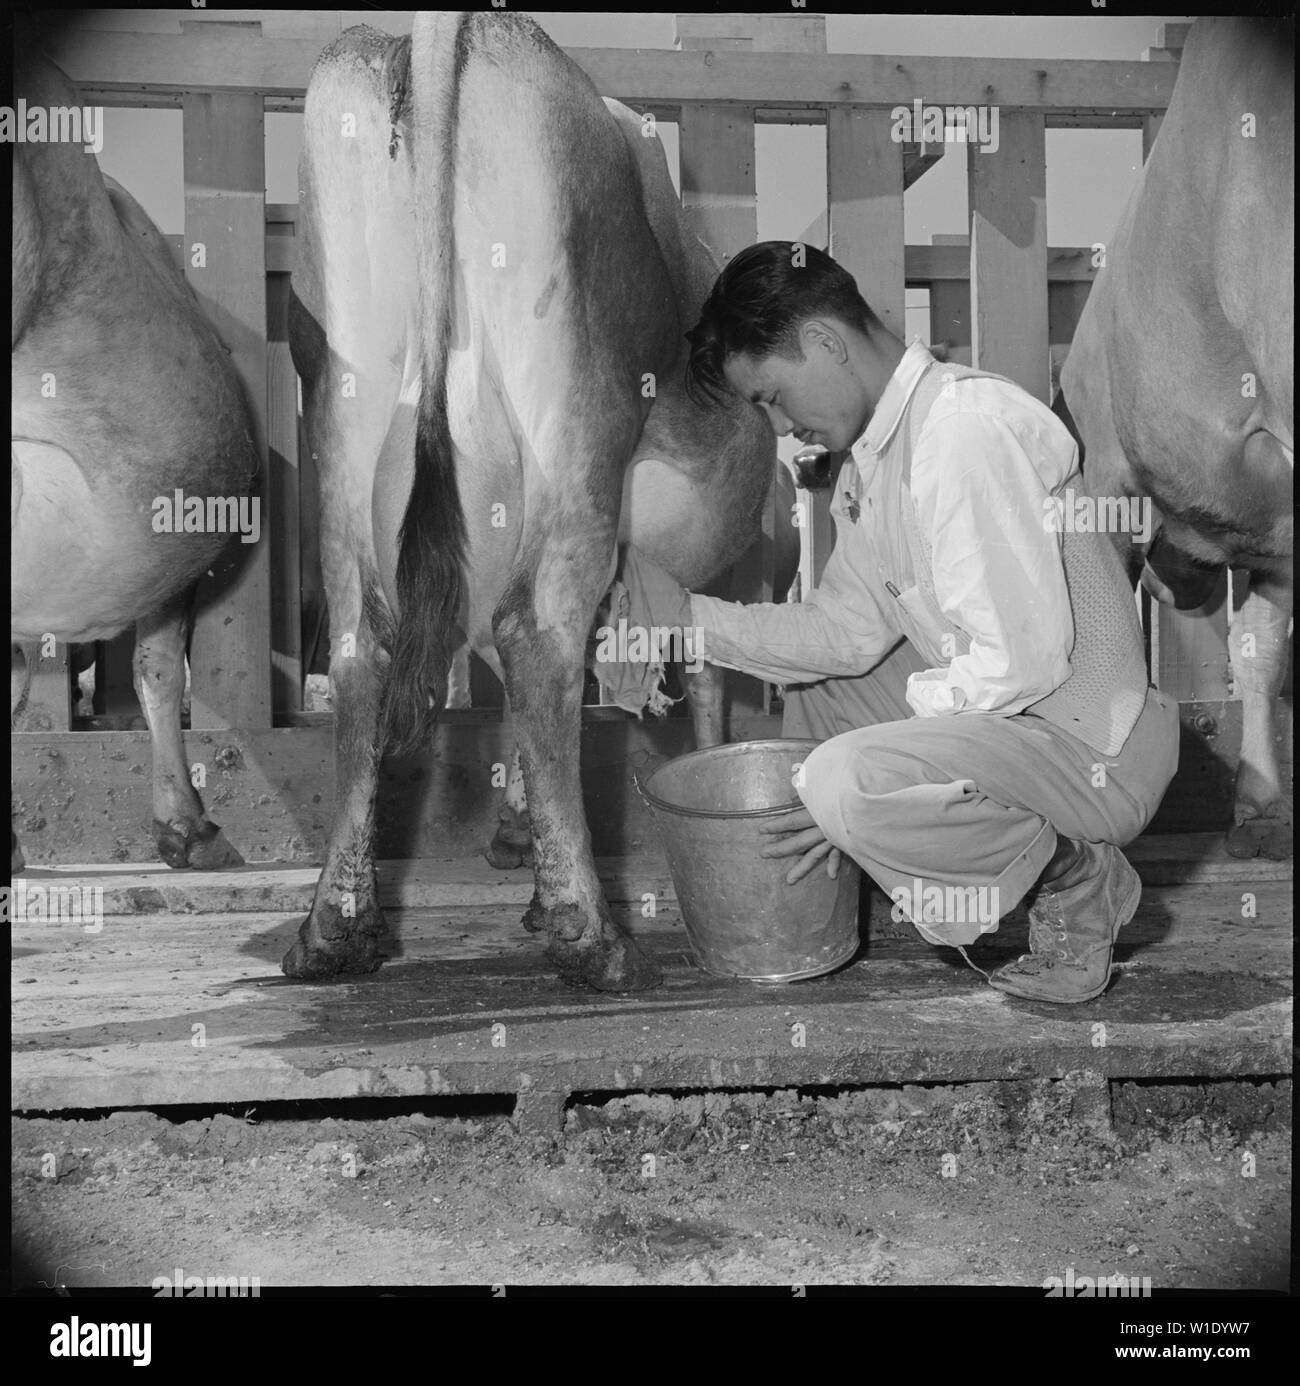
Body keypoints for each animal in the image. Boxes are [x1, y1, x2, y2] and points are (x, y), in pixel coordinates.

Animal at [284, 8, 770, 986]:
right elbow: (703, 679)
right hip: (577, 416)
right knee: (536, 636)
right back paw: (595, 936)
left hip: (343, 429)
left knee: (362, 650)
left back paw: (336, 930)